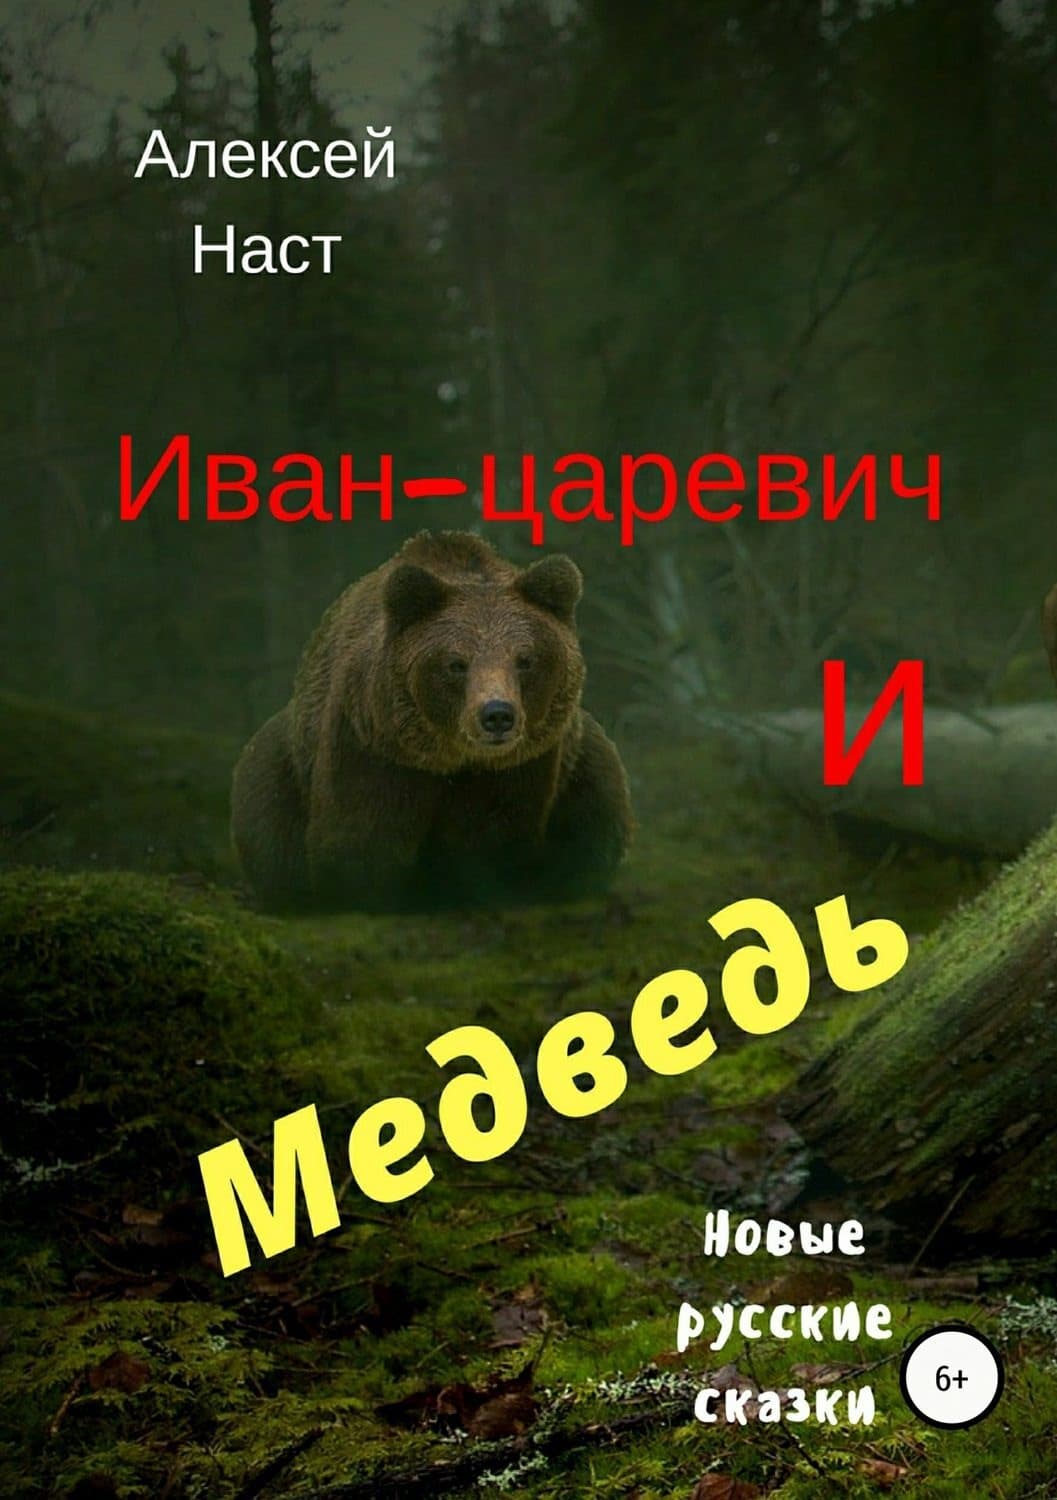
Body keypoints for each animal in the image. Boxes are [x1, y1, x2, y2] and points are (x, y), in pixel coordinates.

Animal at [230, 530, 633, 911]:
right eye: (456, 663)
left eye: (525, 659)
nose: (497, 715)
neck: (451, 758)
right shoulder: (374, 748)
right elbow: (361, 837)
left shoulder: (522, 765)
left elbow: (496, 837)